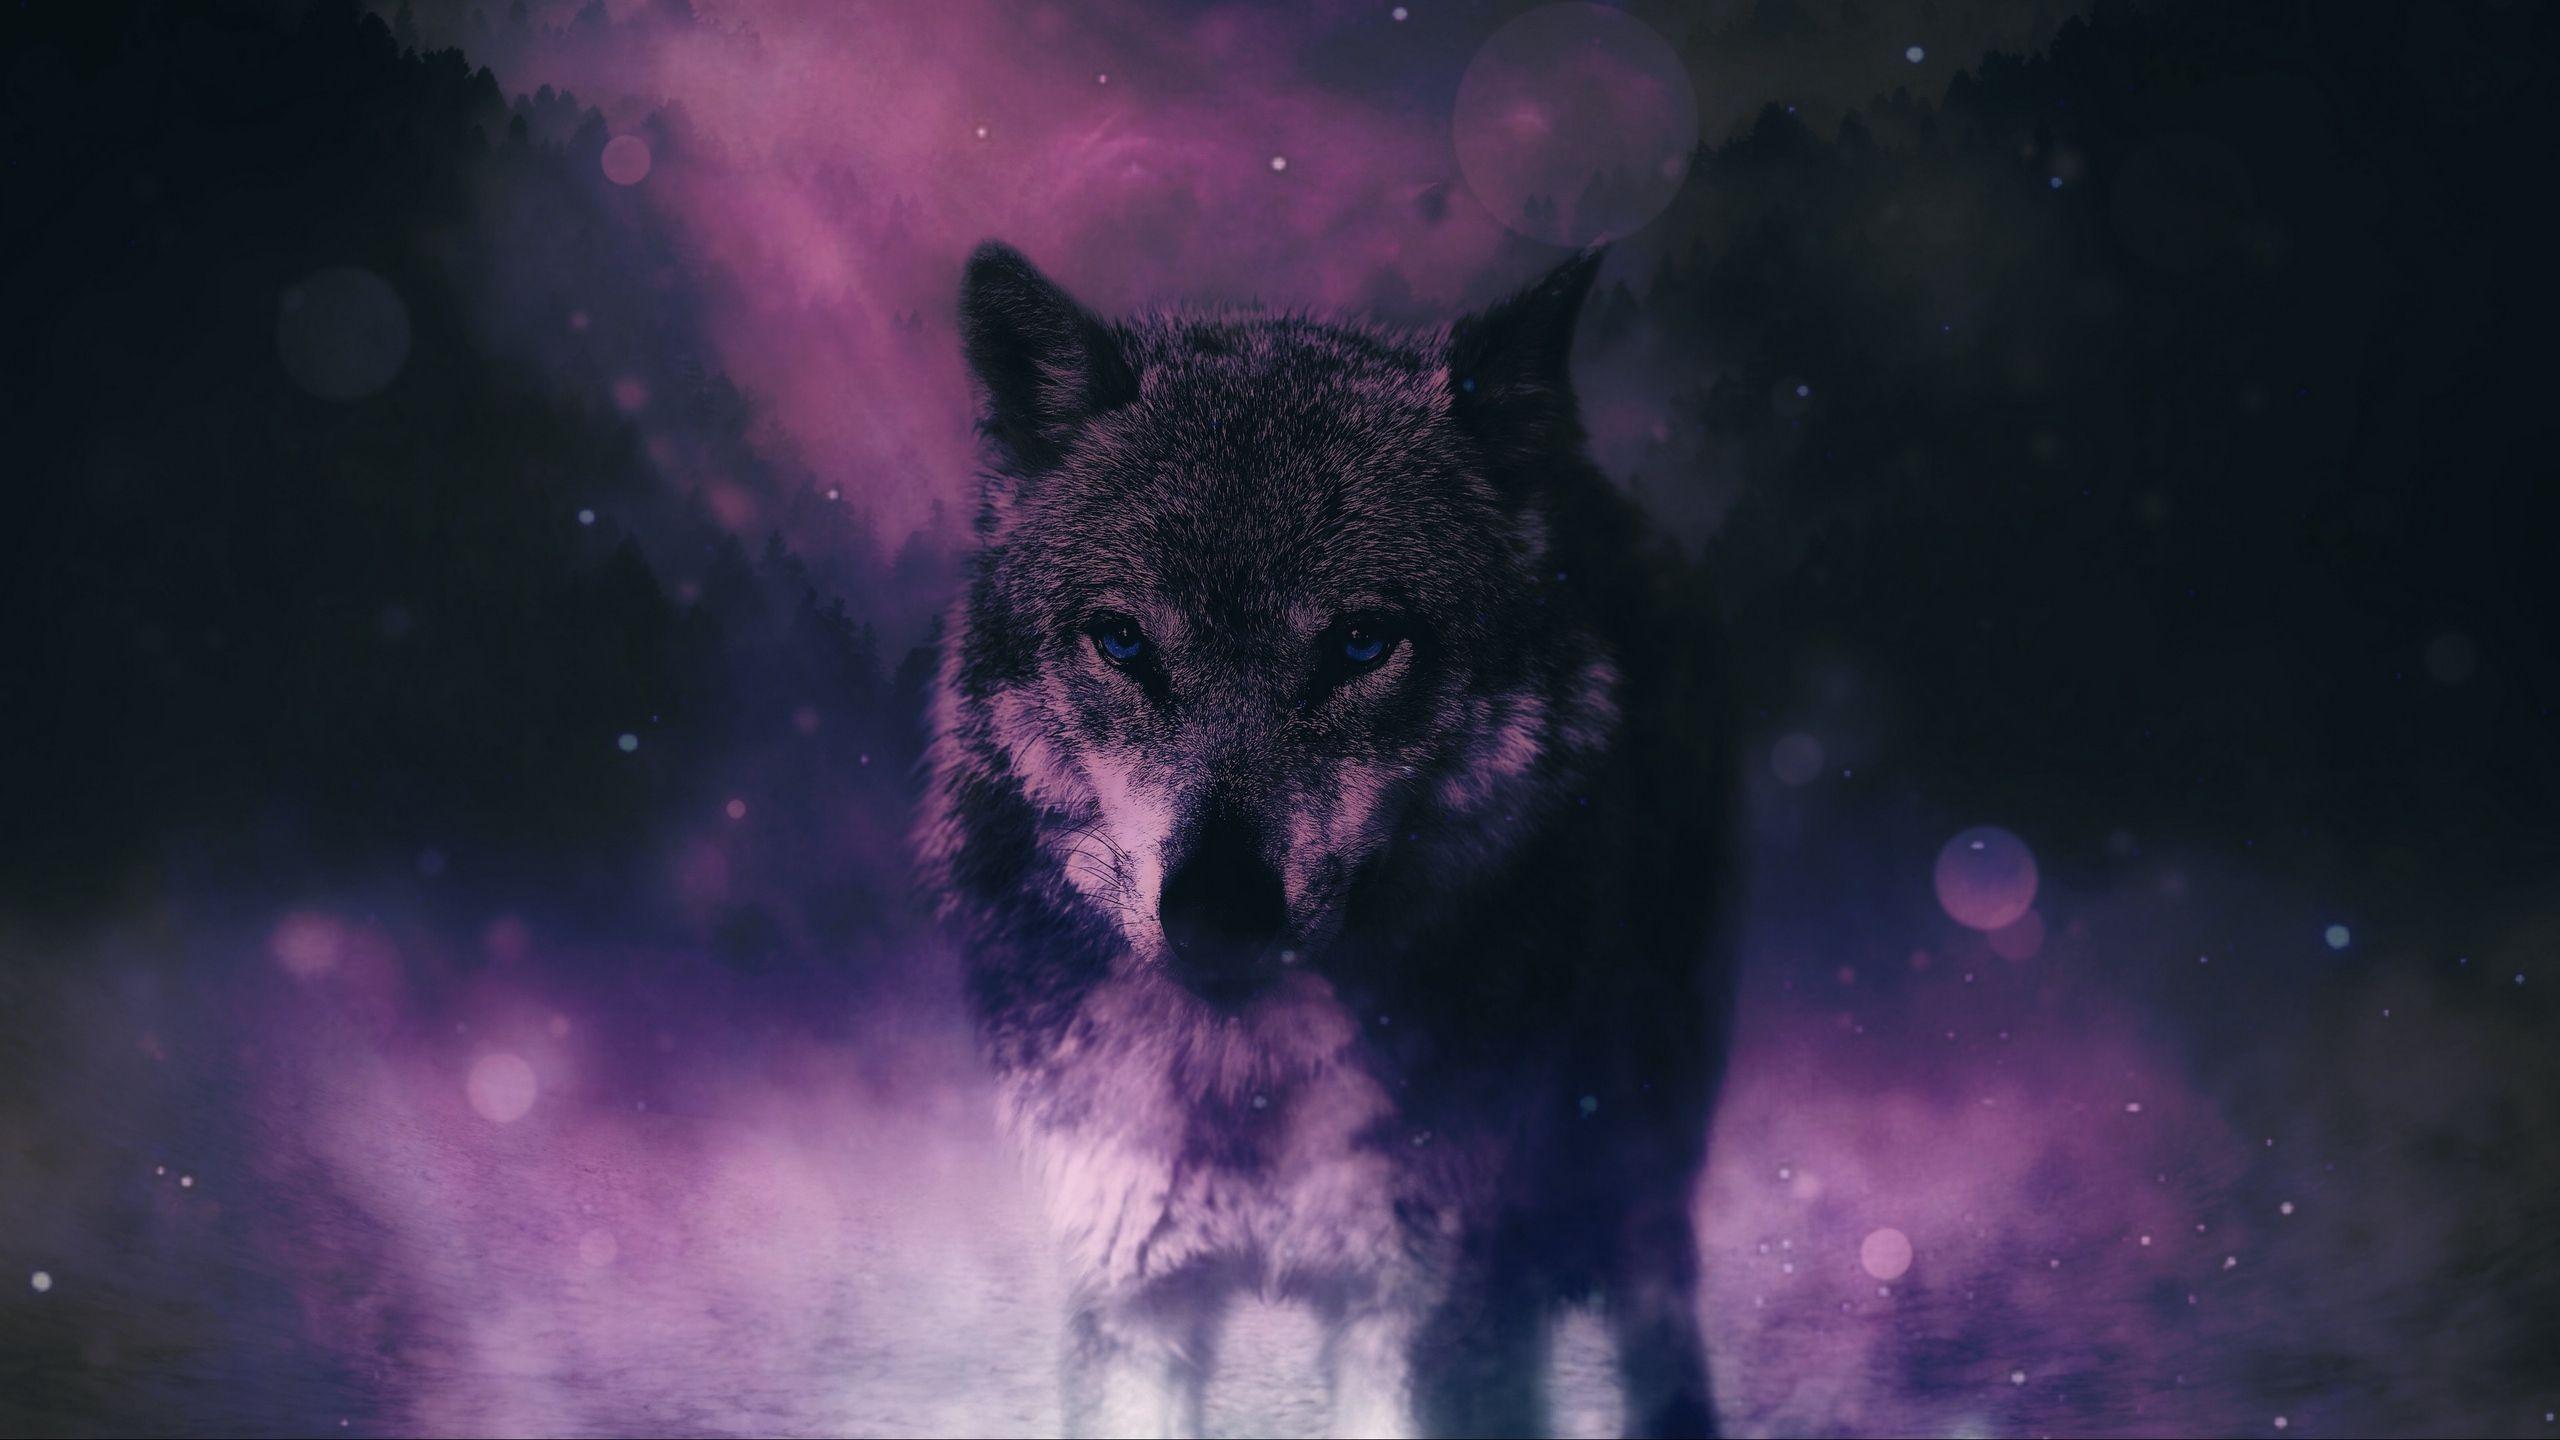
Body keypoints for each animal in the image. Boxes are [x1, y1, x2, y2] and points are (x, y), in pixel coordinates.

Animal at [917, 239, 1736, 1439]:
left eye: (1360, 644)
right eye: (1122, 642)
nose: (1217, 912)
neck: (1248, 1081)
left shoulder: (1417, 1306)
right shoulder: (1132, 1297)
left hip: (1633, 1147)